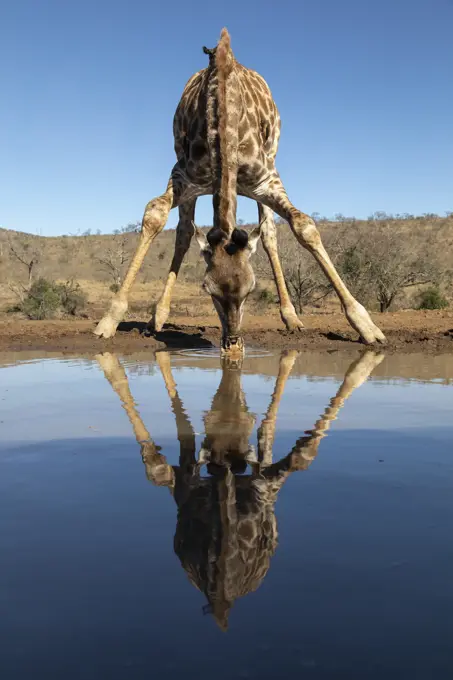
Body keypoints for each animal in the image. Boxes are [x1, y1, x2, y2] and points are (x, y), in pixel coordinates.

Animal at [93, 27, 384, 356]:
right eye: (207, 289)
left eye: (251, 288)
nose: (233, 344)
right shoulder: (183, 175)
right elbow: (155, 215)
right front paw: (109, 320)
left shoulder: (266, 180)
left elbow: (304, 226)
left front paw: (367, 326)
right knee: (184, 232)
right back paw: (159, 316)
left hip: (269, 166)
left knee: (269, 233)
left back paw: (292, 317)